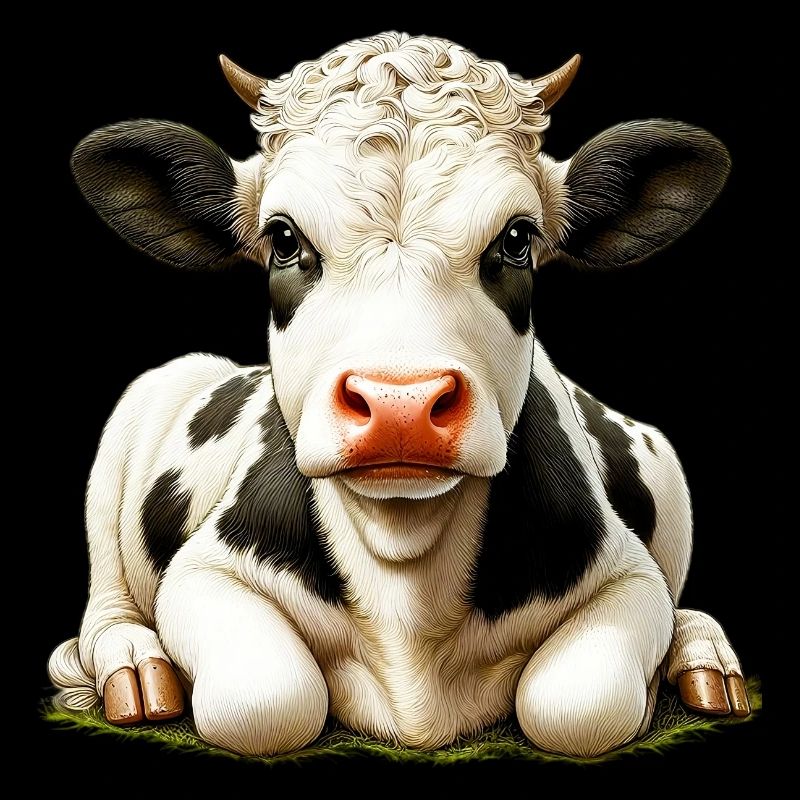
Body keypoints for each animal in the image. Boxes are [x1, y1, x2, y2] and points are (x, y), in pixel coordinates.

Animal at [48, 32, 749, 759]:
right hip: (134, 417)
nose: (399, 404)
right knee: (105, 608)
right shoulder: (204, 573)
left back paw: (706, 662)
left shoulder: (629, 576)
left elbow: (582, 706)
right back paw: (134, 672)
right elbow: (266, 700)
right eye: (284, 239)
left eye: (518, 238)